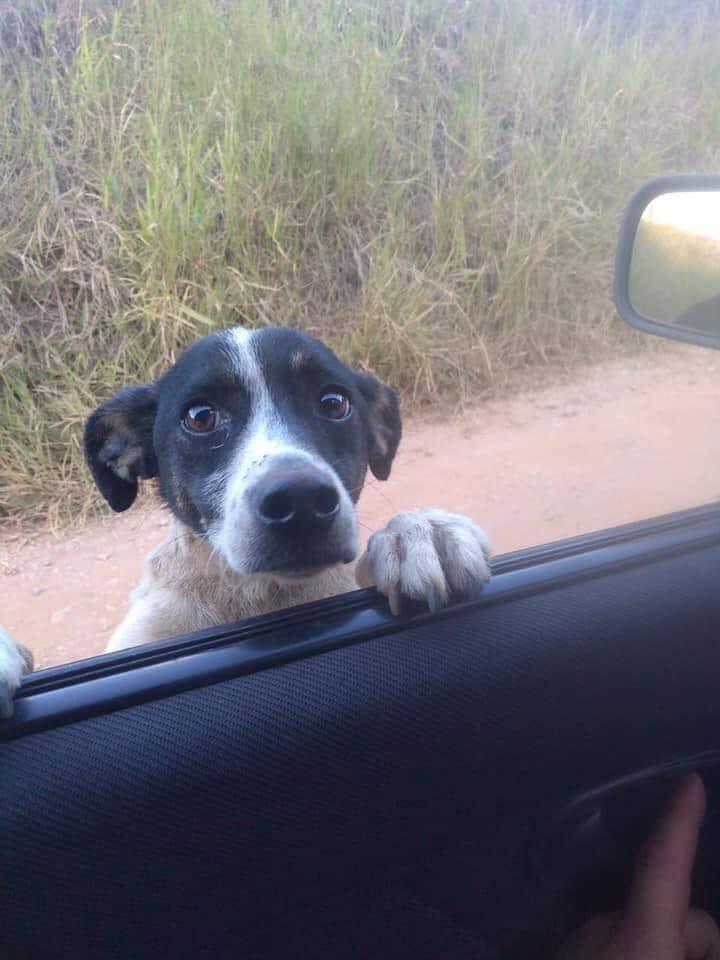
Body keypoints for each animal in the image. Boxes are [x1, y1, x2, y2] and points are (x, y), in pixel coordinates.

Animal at [0, 328, 490, 712]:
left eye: (334, 403)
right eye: (200, 417)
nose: (300, 500)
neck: (253, 596)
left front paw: (419, 535)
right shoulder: (135, 643)